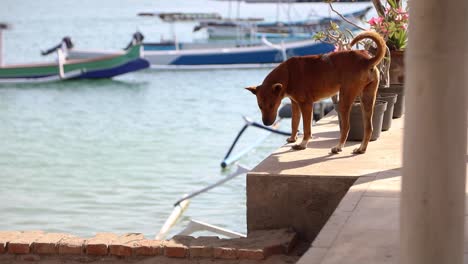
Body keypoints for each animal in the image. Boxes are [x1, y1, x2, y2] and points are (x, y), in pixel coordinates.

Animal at [247, 31, 386, 154]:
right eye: (260, 106)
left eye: (272, 105)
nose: (266, 123)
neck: (288, 74)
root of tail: (367, 60)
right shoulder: (295, 104)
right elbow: (294, 123)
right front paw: (292, 138)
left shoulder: (306, 105)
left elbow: (307, 128)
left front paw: (303, 144)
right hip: (367, 98)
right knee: (369, 127)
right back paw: (361, 149)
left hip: (344, 100)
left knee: (346, 127)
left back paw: (338, 147)